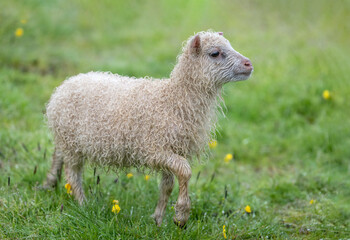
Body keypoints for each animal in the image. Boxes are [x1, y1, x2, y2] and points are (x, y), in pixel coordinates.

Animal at [43, 31, 253, 228]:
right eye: (215, 53)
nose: (249, 64)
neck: (174, 99)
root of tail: (64, 86)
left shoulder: (172, 149)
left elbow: (167, 186)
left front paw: (158, 220)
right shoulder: (153, 150)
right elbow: (185, 171)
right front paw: (181, 216)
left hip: (65, 140)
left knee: (57, 155)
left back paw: (49, 182)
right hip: (72, 144)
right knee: (73, 175)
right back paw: (83, 204)